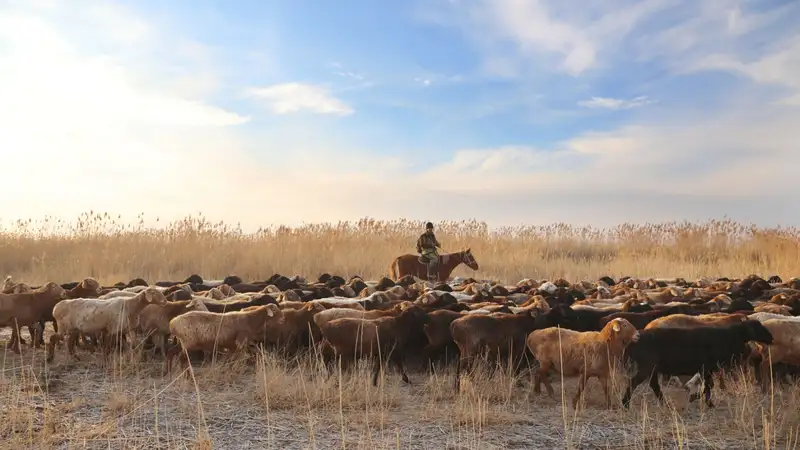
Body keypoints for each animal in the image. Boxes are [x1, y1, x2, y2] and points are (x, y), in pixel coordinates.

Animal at [620, 320, 772, 408]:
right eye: (758, 327)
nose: (771, 338)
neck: (729, 337)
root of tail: (634, 341)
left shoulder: (706, 369)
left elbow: (709, 385)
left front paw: (705, 401)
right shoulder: (705, 367)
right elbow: (709, 385)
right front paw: (699, 399)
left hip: (652, 368)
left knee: (654, 385)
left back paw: (664, 403)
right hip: (647, 366)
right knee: (634, 382)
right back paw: (625, 403)